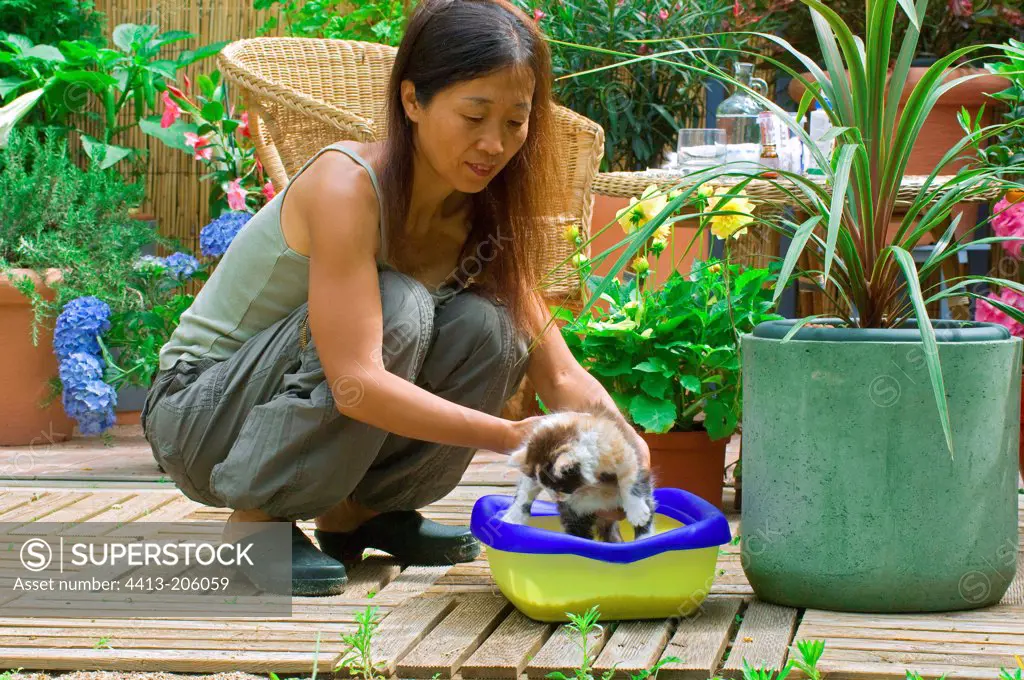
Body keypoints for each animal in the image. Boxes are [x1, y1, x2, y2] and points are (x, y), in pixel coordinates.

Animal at [501, 403, 655, 540]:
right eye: (546, 487)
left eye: (559, 487)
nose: (556, 499)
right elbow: (524, 492)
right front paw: (512, 518)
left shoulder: (625, 450)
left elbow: (630, 480)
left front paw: (637, 512)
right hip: (575, 514)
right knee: (579, 533)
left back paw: (644, 538)